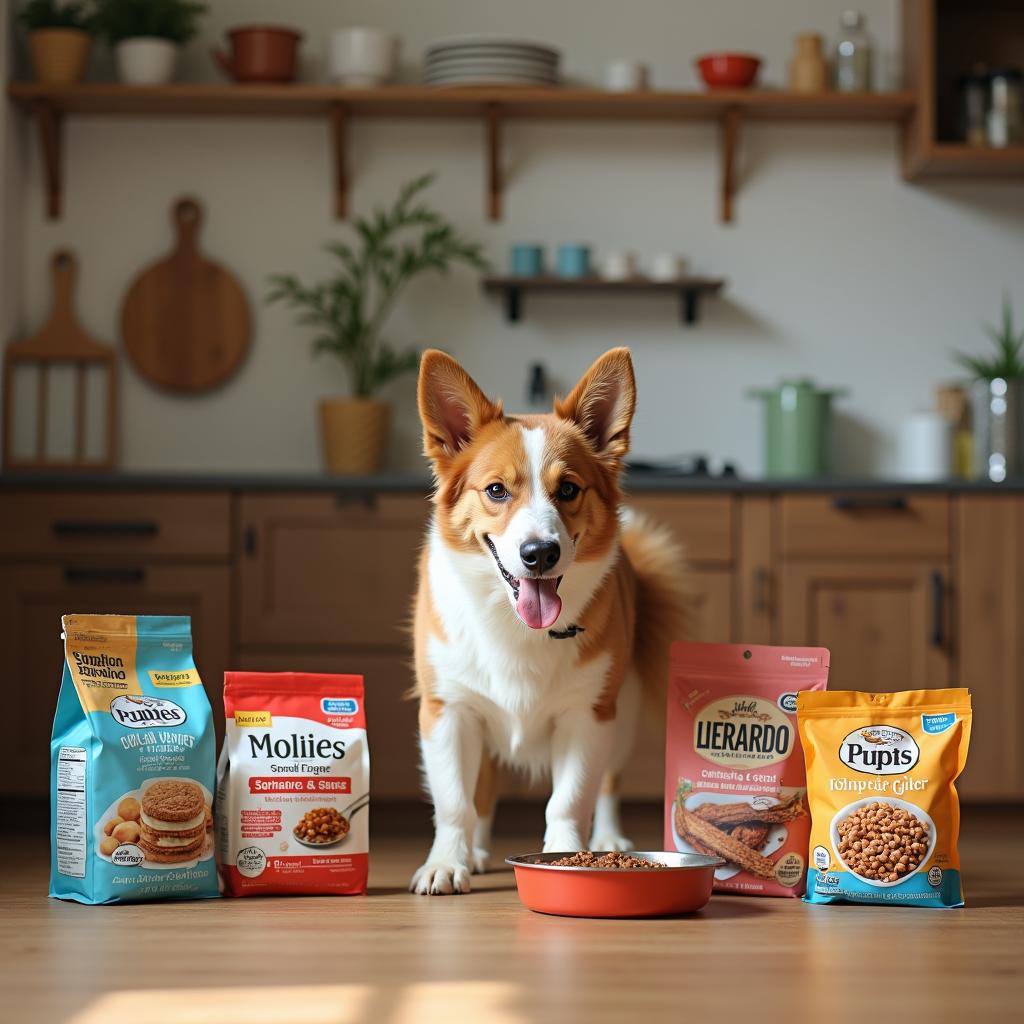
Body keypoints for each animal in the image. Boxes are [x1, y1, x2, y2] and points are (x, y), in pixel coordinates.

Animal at [409, 348, 688, 892]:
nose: (539, 553)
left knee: (608, 784)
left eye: (569, 489)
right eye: (497, 490)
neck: (516, 625)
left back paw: (608, 837)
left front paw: (567, 856)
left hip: (621, 715)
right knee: (483, 792)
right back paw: (476, 849)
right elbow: (455, 802)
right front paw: (447, 862)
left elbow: (570, 798)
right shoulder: (447, 711)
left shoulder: (588, 715)